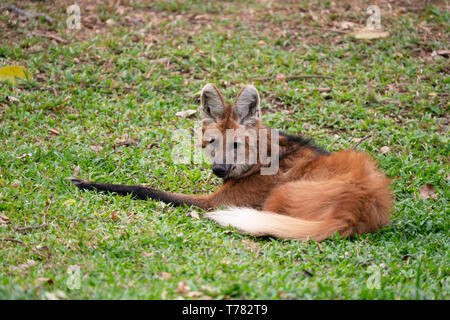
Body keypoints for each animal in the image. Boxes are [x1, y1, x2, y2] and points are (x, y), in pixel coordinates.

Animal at [69, 84, 390, 241]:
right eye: (212, 143)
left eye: (235, 145)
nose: (219, 169)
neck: (262, 159)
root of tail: (357, 210)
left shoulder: (215, 202)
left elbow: (144, 188)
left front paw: (85, 182)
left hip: (279, 197)